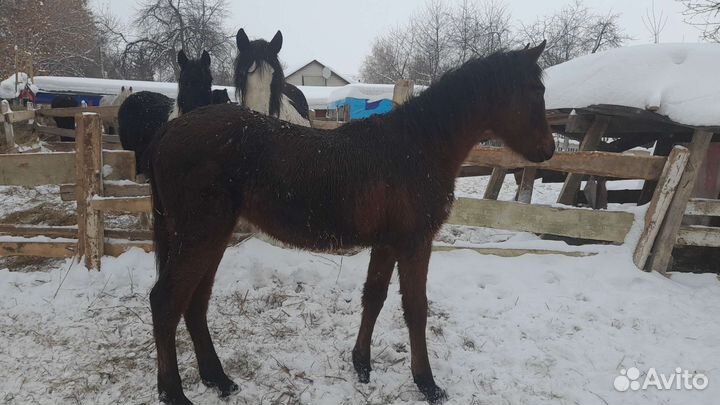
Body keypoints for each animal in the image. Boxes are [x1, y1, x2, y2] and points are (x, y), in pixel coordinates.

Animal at [148, 41, 553, 405]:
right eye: (537, 91)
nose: (548, 150)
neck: (417, 145)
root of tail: (169, 132)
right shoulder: (414, 243)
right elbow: (416, 309)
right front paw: (427, 383)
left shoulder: (387, 243)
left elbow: (373, 297)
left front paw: (362, 363)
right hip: (200, 236)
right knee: (166, 302)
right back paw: (174, 393)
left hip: (211, 237)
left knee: (195, 304)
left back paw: (218, 379)